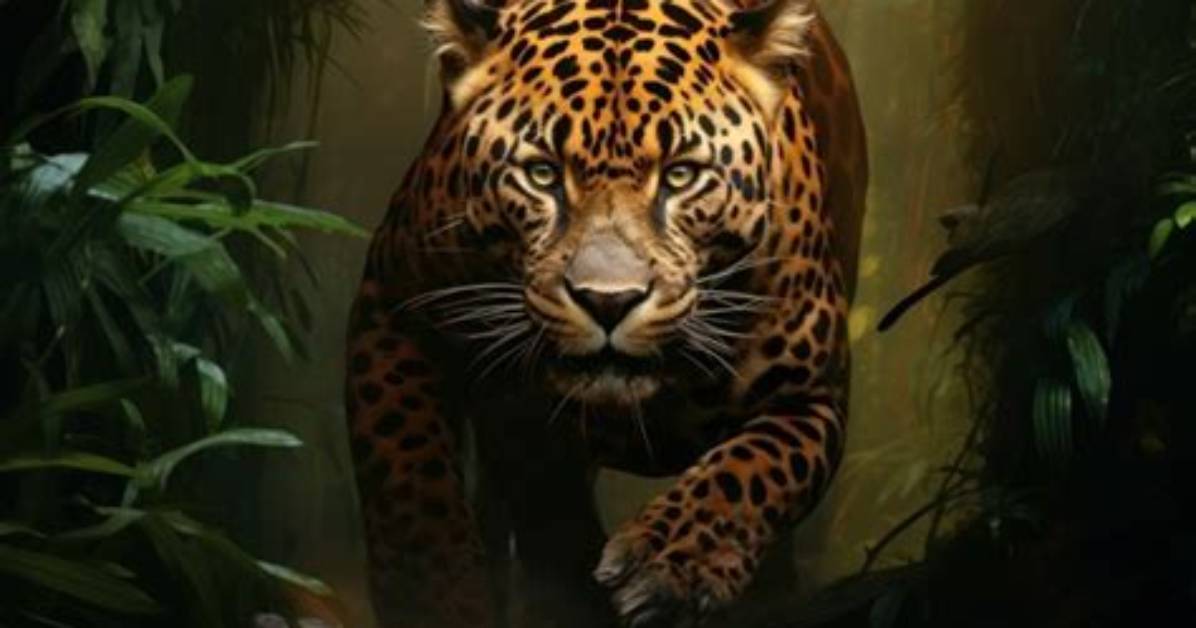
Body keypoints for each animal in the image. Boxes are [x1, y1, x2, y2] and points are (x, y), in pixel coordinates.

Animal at [344, 0, 867, 626]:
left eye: (681, 175)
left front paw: (669, 562)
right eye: (542, 174)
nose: (608, 300)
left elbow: (751, 470)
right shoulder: (395, 304)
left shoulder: (811, 393)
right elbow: (407, 471)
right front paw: (436, 597)